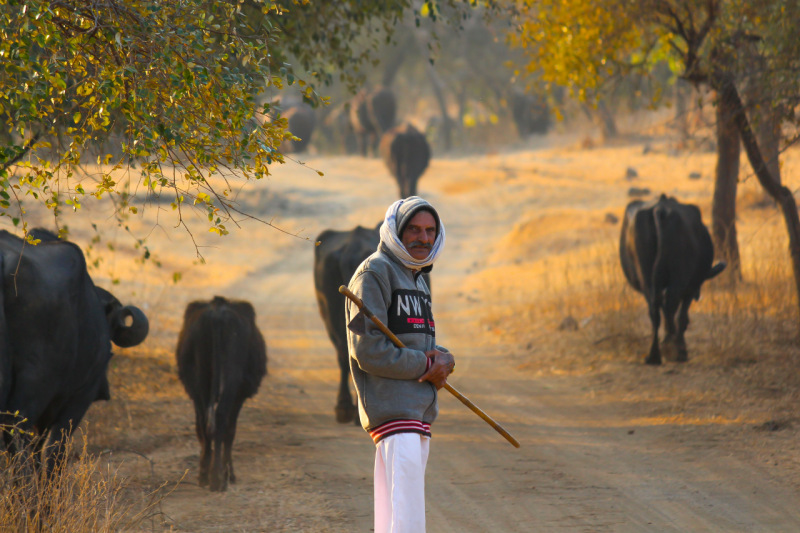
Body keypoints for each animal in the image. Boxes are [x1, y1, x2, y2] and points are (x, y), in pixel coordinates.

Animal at [176, 295, 267, 492]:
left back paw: (204, 475)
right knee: (220, 420)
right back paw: (219, 479)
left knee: (204, 425)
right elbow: (230, 432)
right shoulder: (239, 396)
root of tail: (217, 313)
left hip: (199, 382)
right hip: (231, 382)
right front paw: (229, 474)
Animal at [619, 194, 726, 365]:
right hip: (680, 278)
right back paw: (674, 350)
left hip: (646, 277)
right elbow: (682, 317)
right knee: (670, 306)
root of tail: (660, 210)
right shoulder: (691, 287)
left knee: (655, 310)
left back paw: (654, 355)